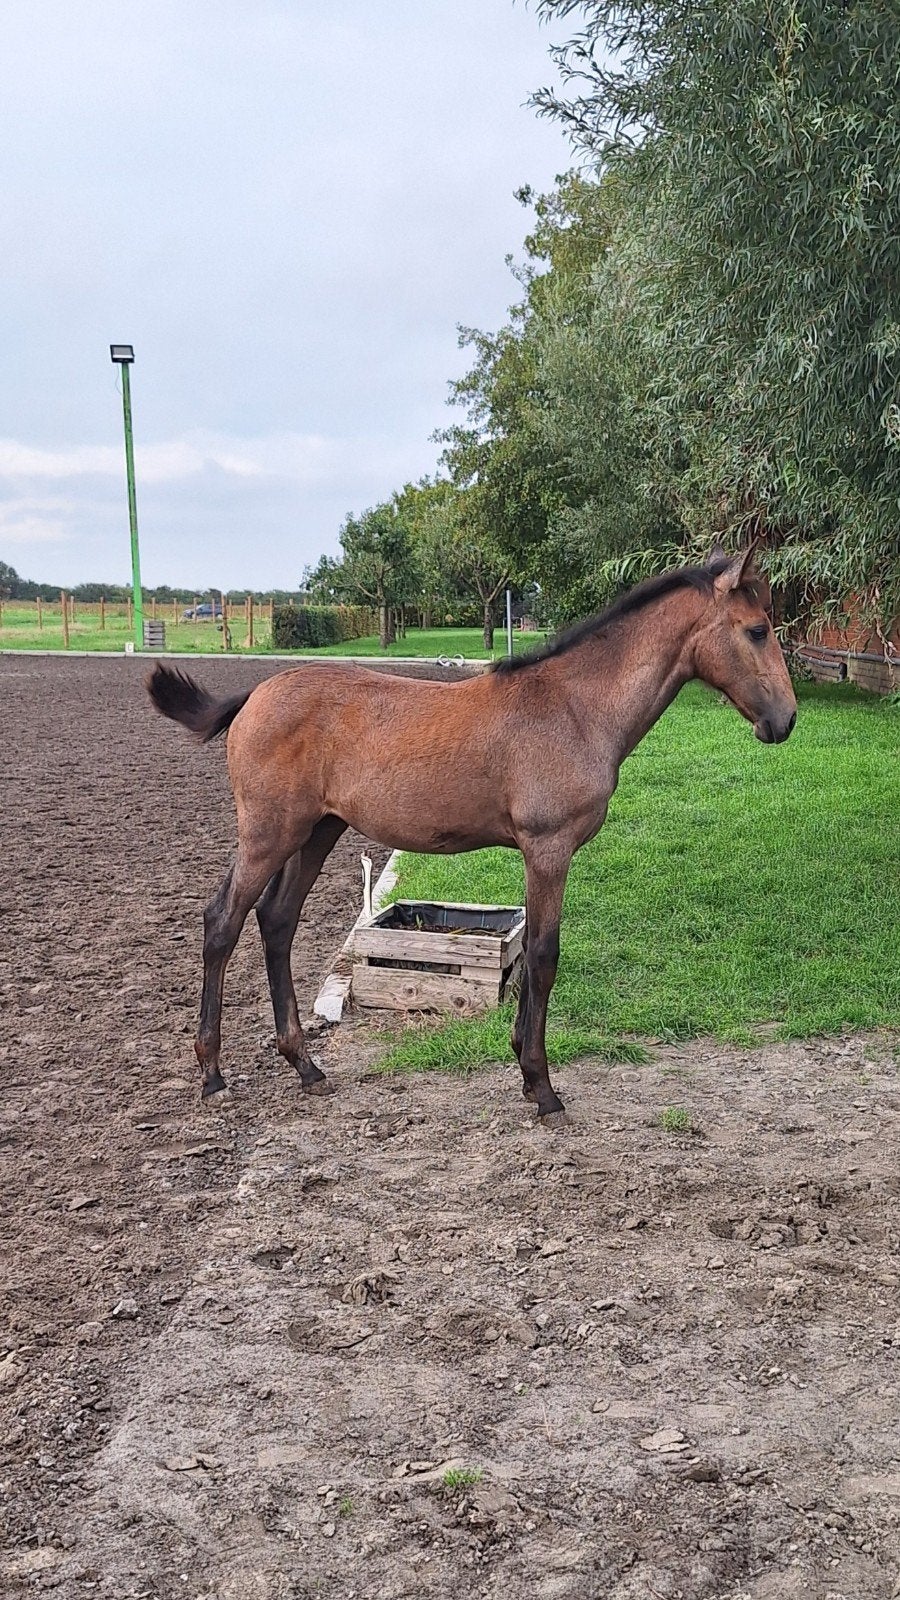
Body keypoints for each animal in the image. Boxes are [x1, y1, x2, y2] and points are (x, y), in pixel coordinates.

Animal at [147, 543, 796, 1116]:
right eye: (757, 630)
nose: (785, 721)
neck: (575, 707)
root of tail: (255, 693)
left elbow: (534, 955)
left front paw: (526, 1072)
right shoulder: (548, 849)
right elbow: (543, 956)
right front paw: (542, 1087)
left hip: (317, 832)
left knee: (277, 921)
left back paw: (305, 1064)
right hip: (269, 833)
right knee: (223, 921)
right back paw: (213, 1074)